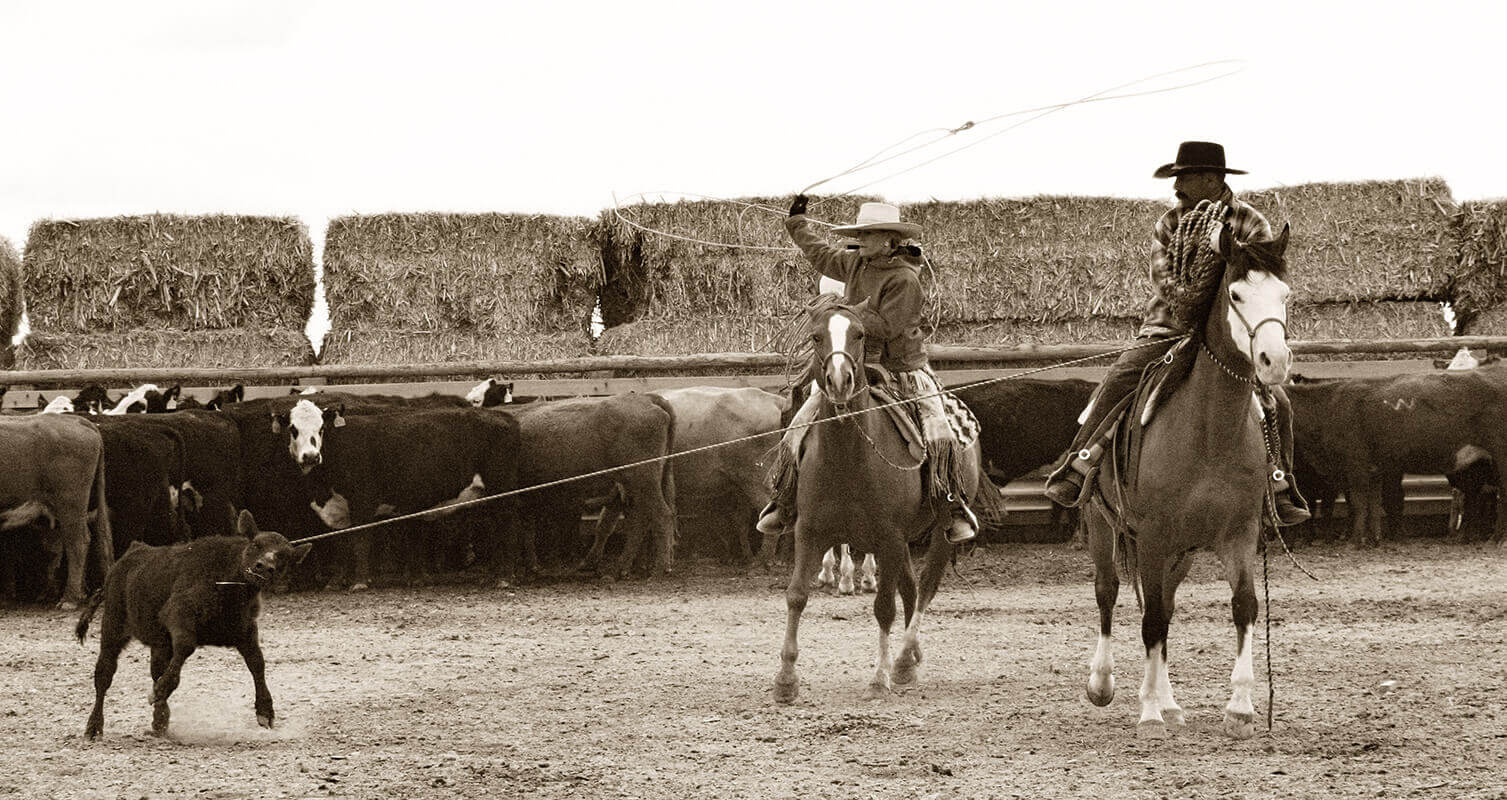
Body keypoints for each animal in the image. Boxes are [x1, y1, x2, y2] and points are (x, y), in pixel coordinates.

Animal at [78, 509, 311, 741]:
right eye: (256, 544)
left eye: (284, 556)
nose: (263, 567)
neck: (229, 583)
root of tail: (129, 555)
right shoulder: (178, 613)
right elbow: (186, 647)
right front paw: (159, 691)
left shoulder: (245, 630)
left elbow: (257, 663)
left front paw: (265, 712)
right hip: (112, 626)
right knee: (104, 674)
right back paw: (93, 728)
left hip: (159, 643)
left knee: (155, 669)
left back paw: (159, 722)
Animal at [777, 304, 988, 705]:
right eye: (816, 336)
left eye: (859, 334)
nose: (839, 380)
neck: (847, 454)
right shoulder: (809, 532)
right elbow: (796, 596)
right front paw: (786, 679)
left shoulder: (888, 538)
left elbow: (884, 608)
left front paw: (879, 677)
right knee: (910, 588)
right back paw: (911, 656)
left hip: (937, 534)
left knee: (925, 588)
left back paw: (903, 659)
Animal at [1085, 218, 1296, 738]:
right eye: (1236, 294)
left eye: (1285, 294)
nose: (1274, 361)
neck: (1209, 432)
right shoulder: (1154, 536)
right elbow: (1150, 619)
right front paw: (1148, 711)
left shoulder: (1239, 533)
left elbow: (1243, 606)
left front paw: (1240, 706)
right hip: (1104, 527)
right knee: (1109, 594)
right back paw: (1104, 683)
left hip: (1179, 552)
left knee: (1165, 606)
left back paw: (1171, 701)